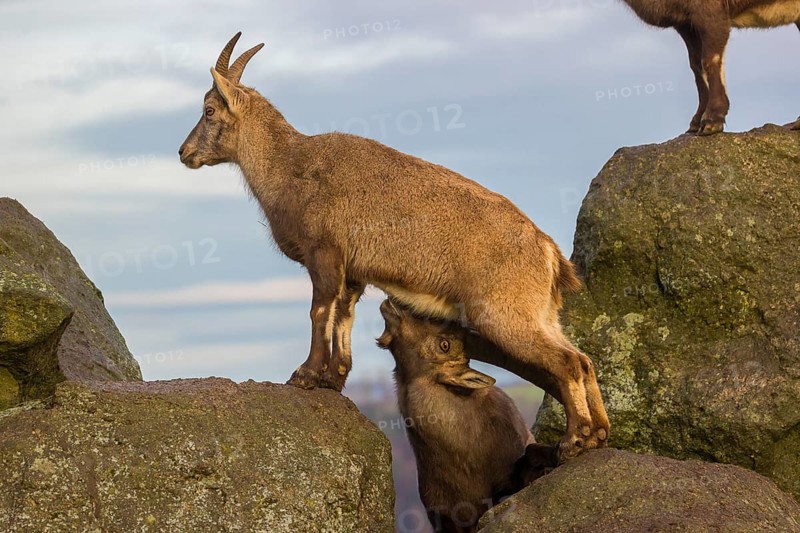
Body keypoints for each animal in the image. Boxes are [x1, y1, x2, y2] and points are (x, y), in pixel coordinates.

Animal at [178, 33, 609, 460]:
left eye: (209, 109)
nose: (184, 153)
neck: (288, 167)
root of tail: (548, 252)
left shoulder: (324, 252)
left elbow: (319, 311)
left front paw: (305, 375)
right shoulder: (352, 272)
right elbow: (344, 317)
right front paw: (333, 379)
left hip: (503, 314)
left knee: (567, 362)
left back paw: (575, 440)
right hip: (542, 316)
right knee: (584, 360)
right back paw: (599, 434)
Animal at [619, 1, 800, 134]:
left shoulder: (711, 13)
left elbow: (710, 60)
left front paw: (712, 121)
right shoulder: (686, 24)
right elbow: (695, 64)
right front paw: (696, 121)